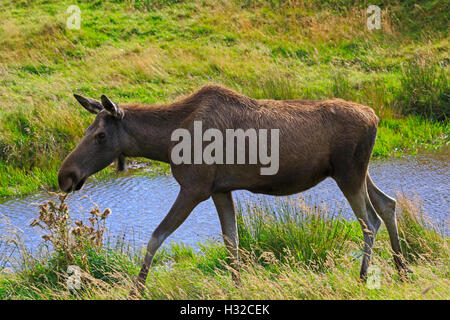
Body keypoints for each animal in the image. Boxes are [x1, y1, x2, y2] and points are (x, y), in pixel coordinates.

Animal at [58, 84, 410, 290]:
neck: (167, 142)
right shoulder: (220, 189)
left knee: (370, 219)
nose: (65, 175)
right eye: (87, 130)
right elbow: (232, 242)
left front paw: (137, 288)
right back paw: (402, 269)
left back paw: (364, 277)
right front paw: (238, 286)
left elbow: (156, 237)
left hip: (349, 174)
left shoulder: (194, 188)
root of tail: (376, 116)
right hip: (356, 172)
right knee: (388, 204)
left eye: (100, 135)